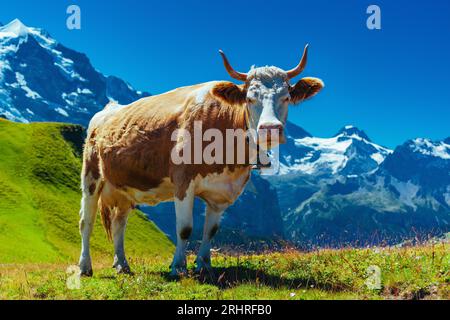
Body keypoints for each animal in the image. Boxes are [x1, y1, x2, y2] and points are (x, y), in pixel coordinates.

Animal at [78, 43, 324, 276]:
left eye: (287, 97)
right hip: (91, 177)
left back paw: (122, 265)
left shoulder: (221, 192)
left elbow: (211, 231)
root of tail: (107, 110)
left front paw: (204, 265)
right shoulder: (183, 181)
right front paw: (178, 267)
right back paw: (85, 267)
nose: (270, 128)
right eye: (250, 98)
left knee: (119, 223)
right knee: (86, 222)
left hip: (124, 187)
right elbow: (185, 228)